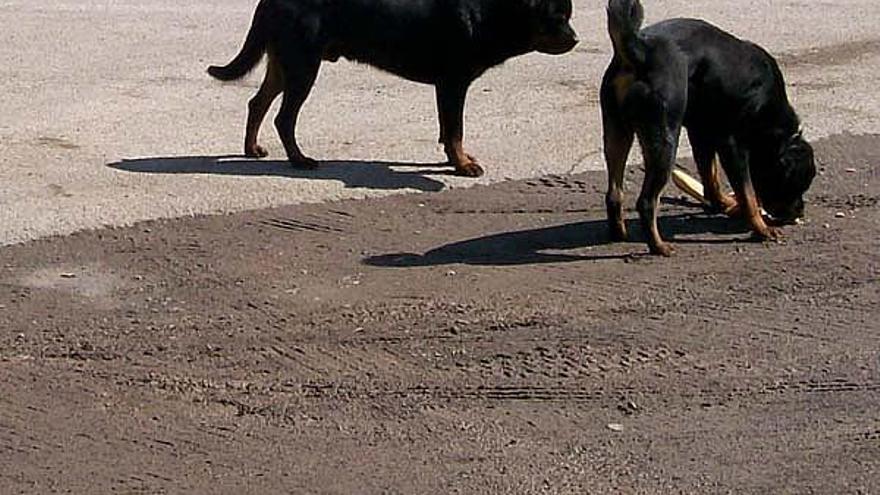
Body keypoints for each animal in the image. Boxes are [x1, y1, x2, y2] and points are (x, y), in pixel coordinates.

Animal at [206, 0, 576, 177]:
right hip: (302, 66)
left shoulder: (447, 87)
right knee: (284, 118)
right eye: (556, 16)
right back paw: (300, 160)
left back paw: (252, 148)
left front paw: (455, 159)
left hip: (284, 64)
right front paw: (462, 165)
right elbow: (455, 129)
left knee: (257, 103)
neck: (490, 13)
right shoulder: (453, 83)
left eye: (568, 14)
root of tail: (269, 1)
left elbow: (447, 130)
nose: (575, 38)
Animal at [600, 0, 816, 256]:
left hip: (616, 131)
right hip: (664, 137)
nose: (800, 211)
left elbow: (710, 177)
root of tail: (639, 50)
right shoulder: (732, 145)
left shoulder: (701, 134)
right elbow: (748, 194)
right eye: (797, 183)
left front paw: (723, 204)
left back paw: (618, 233)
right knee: (647, 201)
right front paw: (761, 229)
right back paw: (658, 246)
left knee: (614, 193)